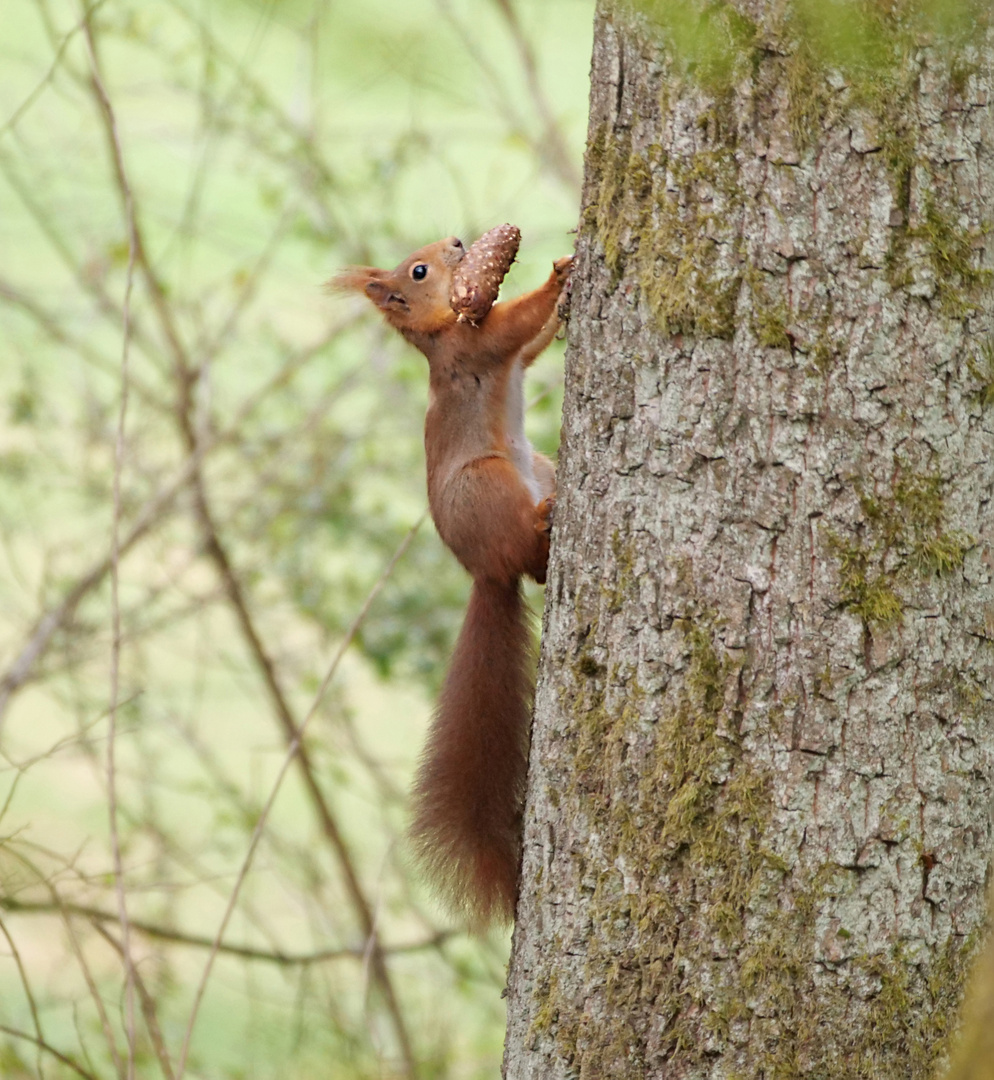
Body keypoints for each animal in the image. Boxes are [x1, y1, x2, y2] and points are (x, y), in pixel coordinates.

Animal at [332, 232, 570, 924]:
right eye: (418, 270)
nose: (462, 241)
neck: (442, 329)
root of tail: (485, 571)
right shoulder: (475, 347)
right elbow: (515, 327)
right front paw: (560, 276)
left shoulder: (499, 353)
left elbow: (532, 348)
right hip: (489, 484)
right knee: (529, 555)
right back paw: (544, 522)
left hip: (540, 464)